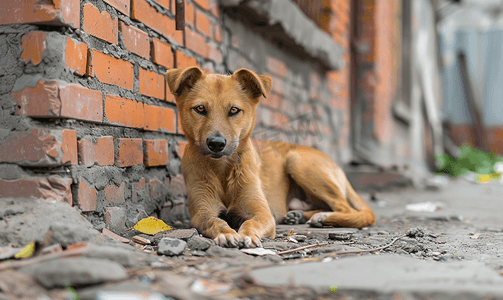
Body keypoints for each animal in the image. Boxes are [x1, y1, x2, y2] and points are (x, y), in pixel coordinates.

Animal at [167, 67, 376, 247]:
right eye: (200, 109)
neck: (223, 169)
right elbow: (215, 221)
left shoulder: (262, 212)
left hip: (298, 162)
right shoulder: (202, 212)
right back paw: (301, 215)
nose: (217, 143)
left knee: (346, 208)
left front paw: (248, 235)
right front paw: (226, 233)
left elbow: (251, 223)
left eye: (234, 110)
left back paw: (324, 217)